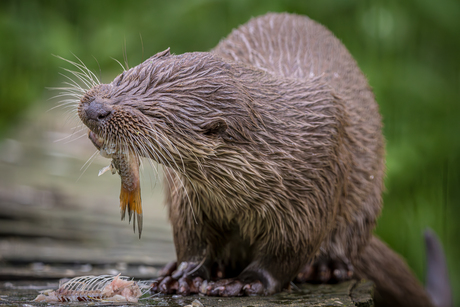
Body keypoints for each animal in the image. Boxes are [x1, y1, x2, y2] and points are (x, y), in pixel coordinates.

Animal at [77, 13, 436, 306]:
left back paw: (325, 268)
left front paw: (244, 283)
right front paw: (183, 276)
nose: (95, 108)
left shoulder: (312, 189)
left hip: (365, 201)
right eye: (123, 76)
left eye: (152, 115)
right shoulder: (188, 196)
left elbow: (286, 252)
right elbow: (192, 239)